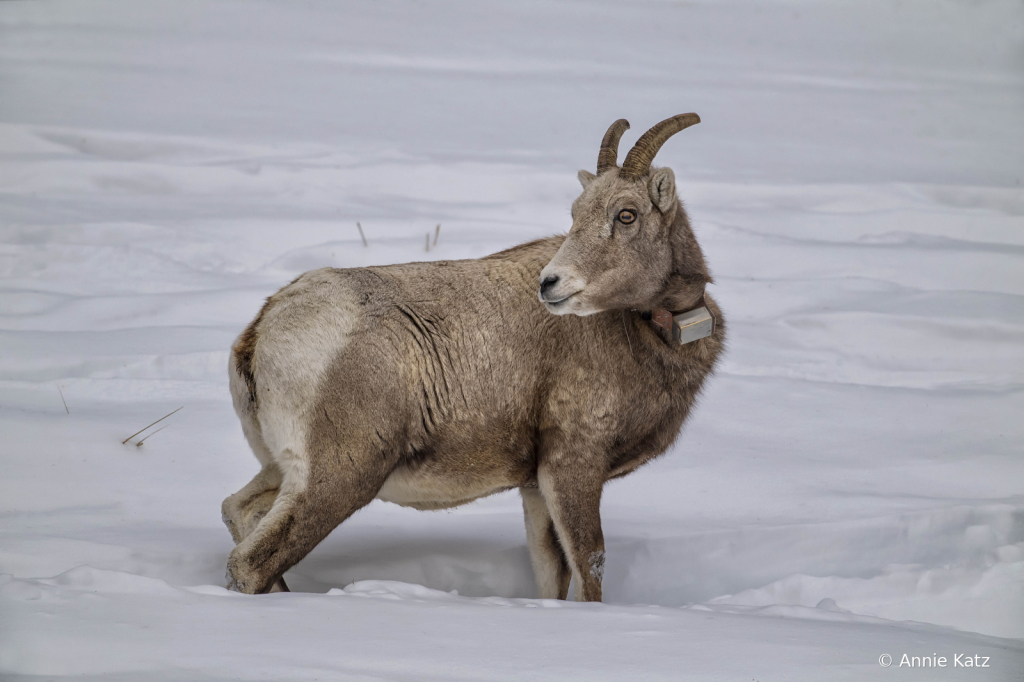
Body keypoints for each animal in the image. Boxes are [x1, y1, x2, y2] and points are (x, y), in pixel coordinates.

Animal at [220, 114, 724, 598]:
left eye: (626, 215)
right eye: (578, 213)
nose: (551, 285)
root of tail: (262, 330)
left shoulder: (535, 488)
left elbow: (552, 573)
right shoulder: (571, 466)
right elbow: (589, 566)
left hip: (281, 471)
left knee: (237, 510)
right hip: (337, 478)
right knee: (253, 563)